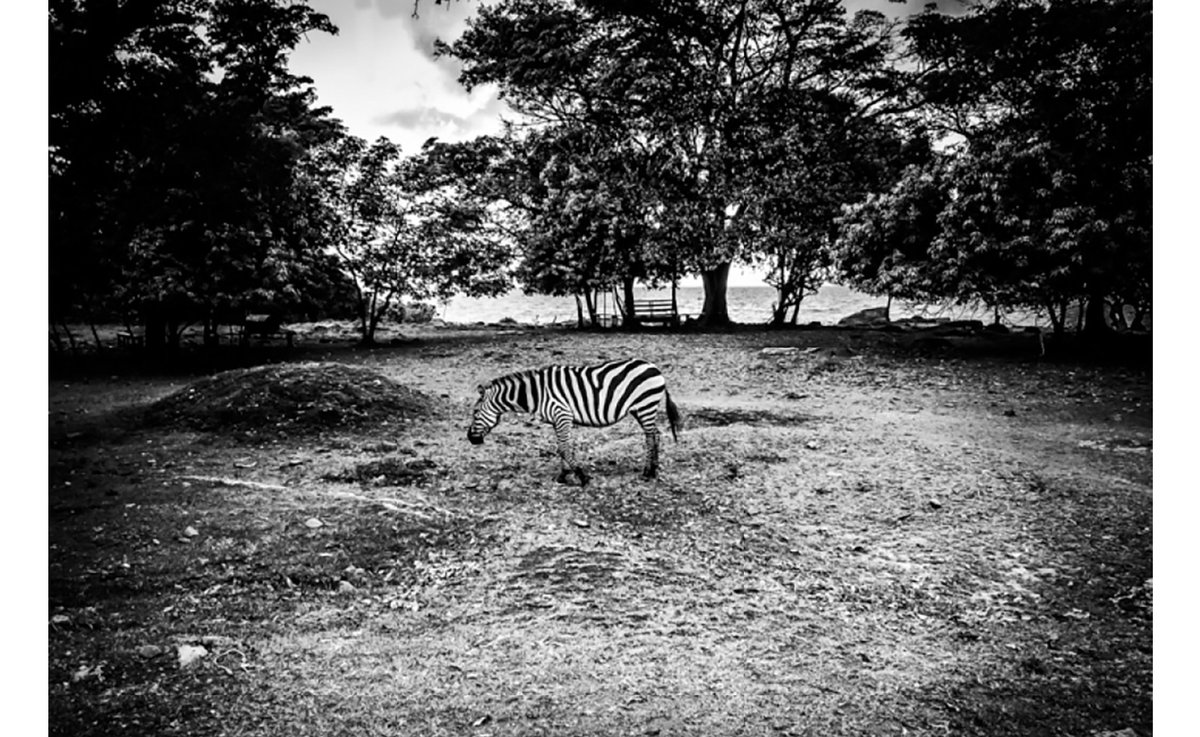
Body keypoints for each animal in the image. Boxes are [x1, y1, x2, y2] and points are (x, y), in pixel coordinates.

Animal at [467, 358, 681, 486]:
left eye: (475, 413)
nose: (470, 439)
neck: (536, 394)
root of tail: (654, 367)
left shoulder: (562, 415)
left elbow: (563, 448)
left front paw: (581, 476)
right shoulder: (557, 420)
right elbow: (562, 447)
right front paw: (563, 475)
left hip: (646, 405)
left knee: (650, 437)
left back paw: (647, 472)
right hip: (641, 408)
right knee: (655, 435)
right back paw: (653, 469)